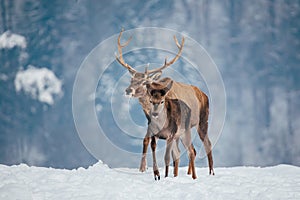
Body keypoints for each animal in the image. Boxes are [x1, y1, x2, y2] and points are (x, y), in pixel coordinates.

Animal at [115, 28, 213, 180]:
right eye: (131, 79)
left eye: (144, 81)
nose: (128, 90)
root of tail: (204, 94)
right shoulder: (151, 124)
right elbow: (146, 140)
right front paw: (143, 168)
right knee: (191, 150)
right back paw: (187, 173)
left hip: (203, 120)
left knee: (206, 144)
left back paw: (210, 173)